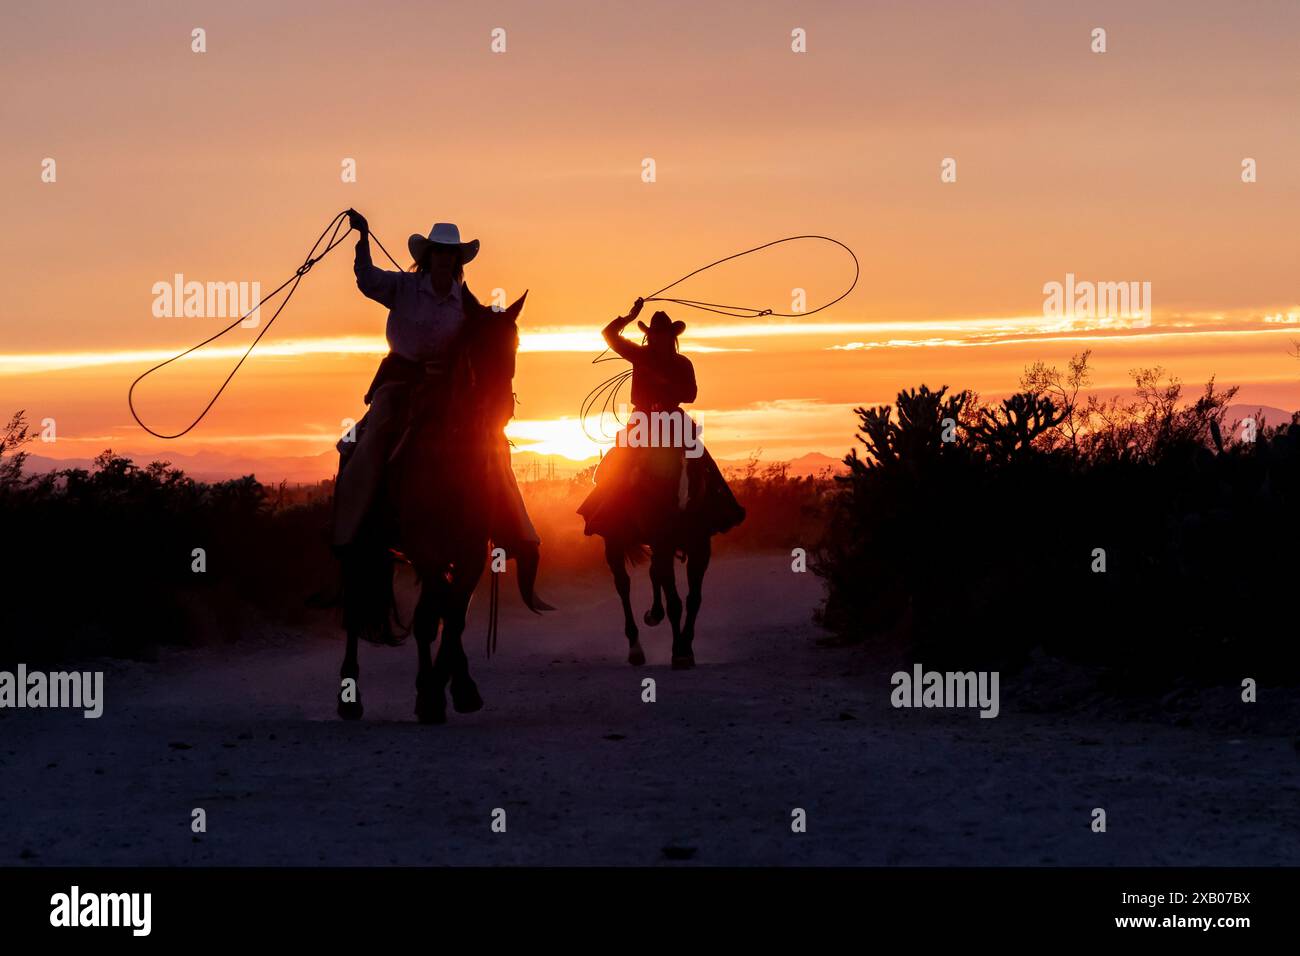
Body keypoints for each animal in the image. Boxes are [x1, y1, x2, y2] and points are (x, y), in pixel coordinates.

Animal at [335, 291, 543, 723]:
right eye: (475, 346)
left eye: (514, 345)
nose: (499, 406)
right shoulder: (426, 549)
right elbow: (432, 619)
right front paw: (431, 696)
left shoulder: (470, 551)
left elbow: (454, 616)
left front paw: (457, 689)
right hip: (359, 550)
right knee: (356, 611)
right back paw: (350, 697)